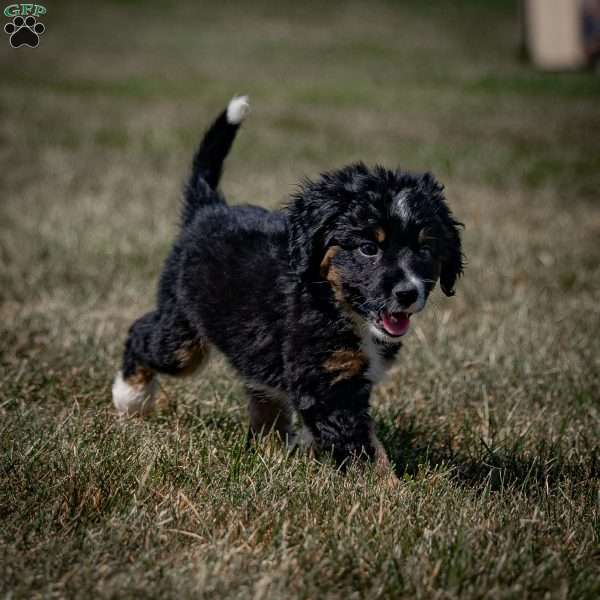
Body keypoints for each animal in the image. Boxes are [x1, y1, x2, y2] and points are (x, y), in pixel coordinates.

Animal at [111, 98, 464, 472]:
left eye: (425, 249)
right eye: (369, 248)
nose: (408, 293)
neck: (332, 301)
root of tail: (209, 209)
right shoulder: (326, 384)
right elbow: (364, 450)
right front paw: (387, 486)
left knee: (265, 399)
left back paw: (271, 450)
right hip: (182, 334)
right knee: (142, 332)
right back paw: (130, 398)